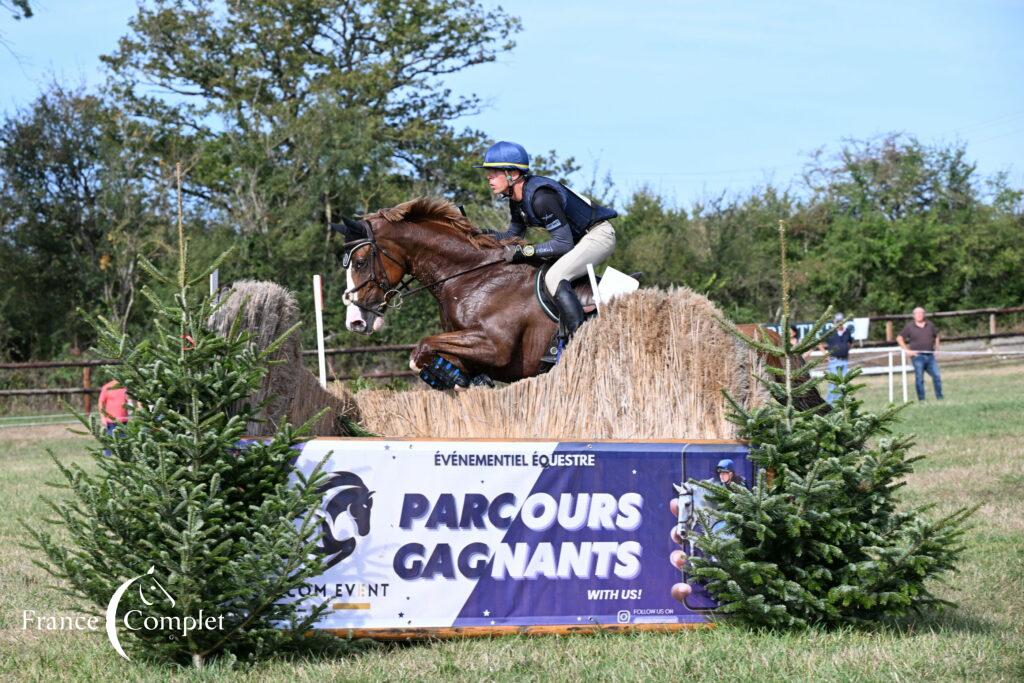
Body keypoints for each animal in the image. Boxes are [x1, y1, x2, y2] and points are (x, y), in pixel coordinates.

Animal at [331, 197, 827, 411]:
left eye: (362, 259)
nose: (356, 320)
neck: (474, 277)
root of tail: (756, 334)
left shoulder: (494, 346)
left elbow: (420, 349)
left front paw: (443, 374)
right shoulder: (477, 349)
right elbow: (432, 354)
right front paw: (453, 378)